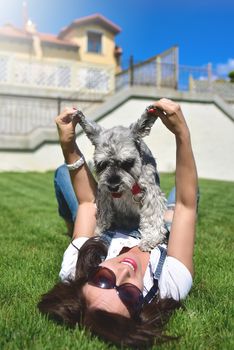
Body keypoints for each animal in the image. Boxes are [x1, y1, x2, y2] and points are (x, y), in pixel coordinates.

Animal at [75, 105, 166, 250]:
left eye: (127, 162)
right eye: (101, 164)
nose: (113, 186)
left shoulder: (151, 193)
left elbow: (152, 216)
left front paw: (150, 239)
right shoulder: (104, 195)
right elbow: (104, 215)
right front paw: (99, 232)